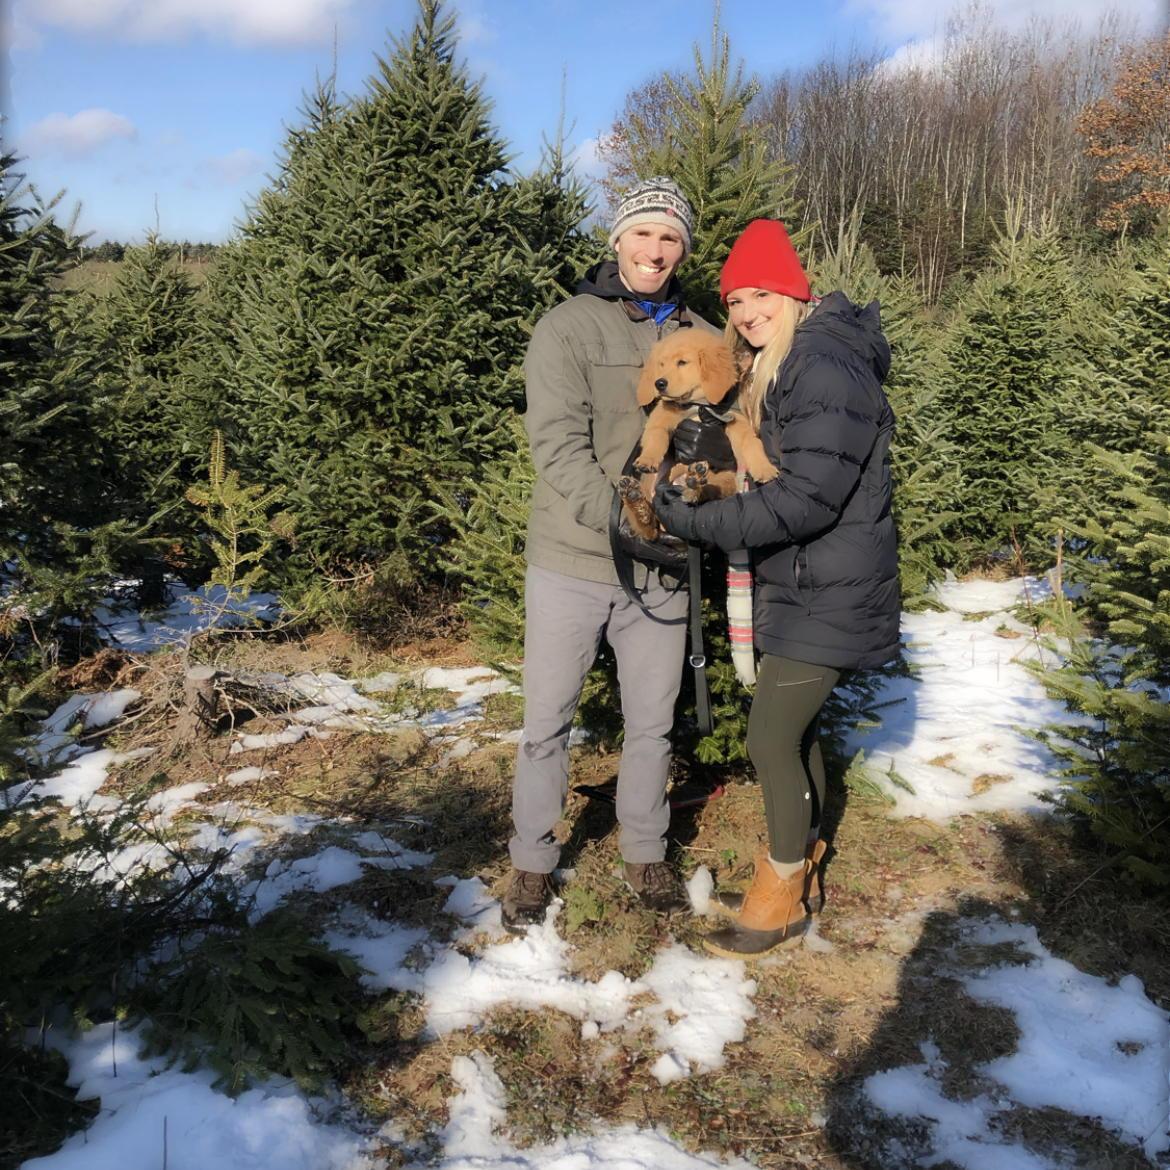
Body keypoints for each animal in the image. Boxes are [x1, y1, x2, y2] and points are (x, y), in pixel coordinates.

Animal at [617, 329, 781, 538]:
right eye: (661, 364)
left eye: (682, 362)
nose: (659, 383)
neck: (697, 405)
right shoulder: (660, 418)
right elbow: (656, 438)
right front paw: (647, 459)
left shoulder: (737, 422)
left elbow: (752, 443)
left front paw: (764, 468)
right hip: (648, 486)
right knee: (648, 528)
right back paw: (636, 501)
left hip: (725, 478)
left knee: (705, 495)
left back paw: (694, 485)